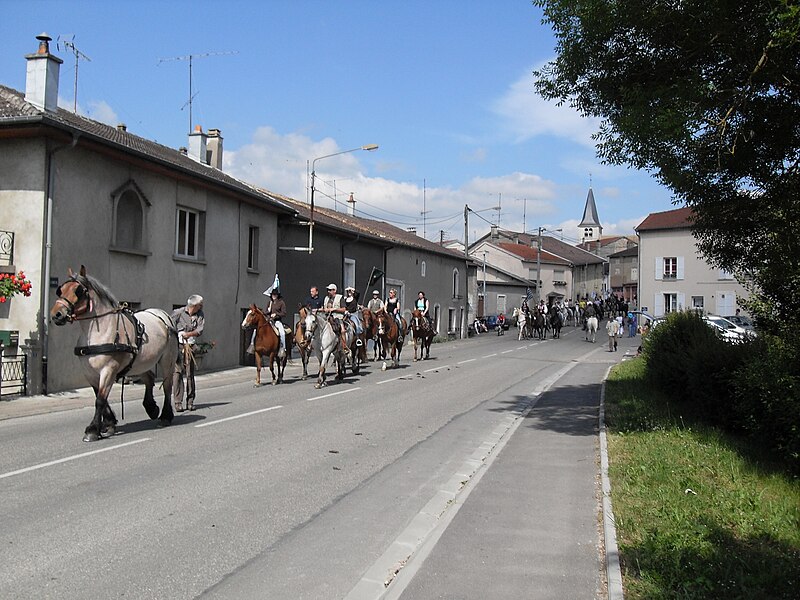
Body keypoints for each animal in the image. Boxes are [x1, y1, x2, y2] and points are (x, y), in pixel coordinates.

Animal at [50, 264, 178, 442]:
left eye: (78, 291)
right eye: (60, 290)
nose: (57, 314)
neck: (101, 331)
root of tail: (164, 316)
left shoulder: (109, 370)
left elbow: (100, 400)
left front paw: (92, 430)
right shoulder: (90, 372)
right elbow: (100, 398)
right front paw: (109, 423)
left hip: (167, 360)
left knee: (167, 385)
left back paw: (166, 416)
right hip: (140, 363)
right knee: (149, 378)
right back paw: (151, 407)